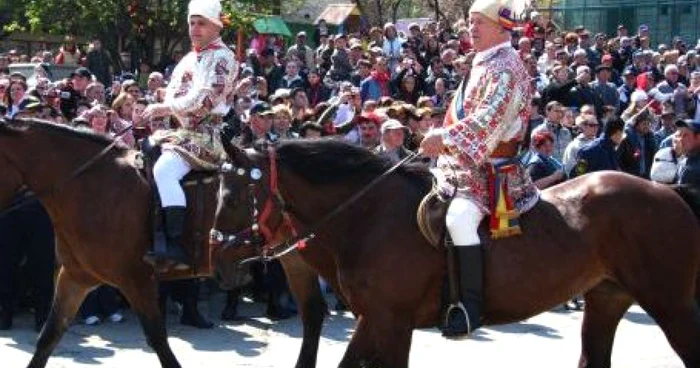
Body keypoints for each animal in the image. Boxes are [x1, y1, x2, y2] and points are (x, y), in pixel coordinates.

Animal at [0, 118, 326, 368]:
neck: (91, 185)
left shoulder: (135, 279)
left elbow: (158, 340)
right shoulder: (75, 277)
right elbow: (48, 336)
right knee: (313, 311)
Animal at [213, 138, 700, 368]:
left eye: (234, 195)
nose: (217, 262)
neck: (368, 215)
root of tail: (667, 191)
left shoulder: (393, 322)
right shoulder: (374, 318)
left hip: (671, 305)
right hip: (607, 298)